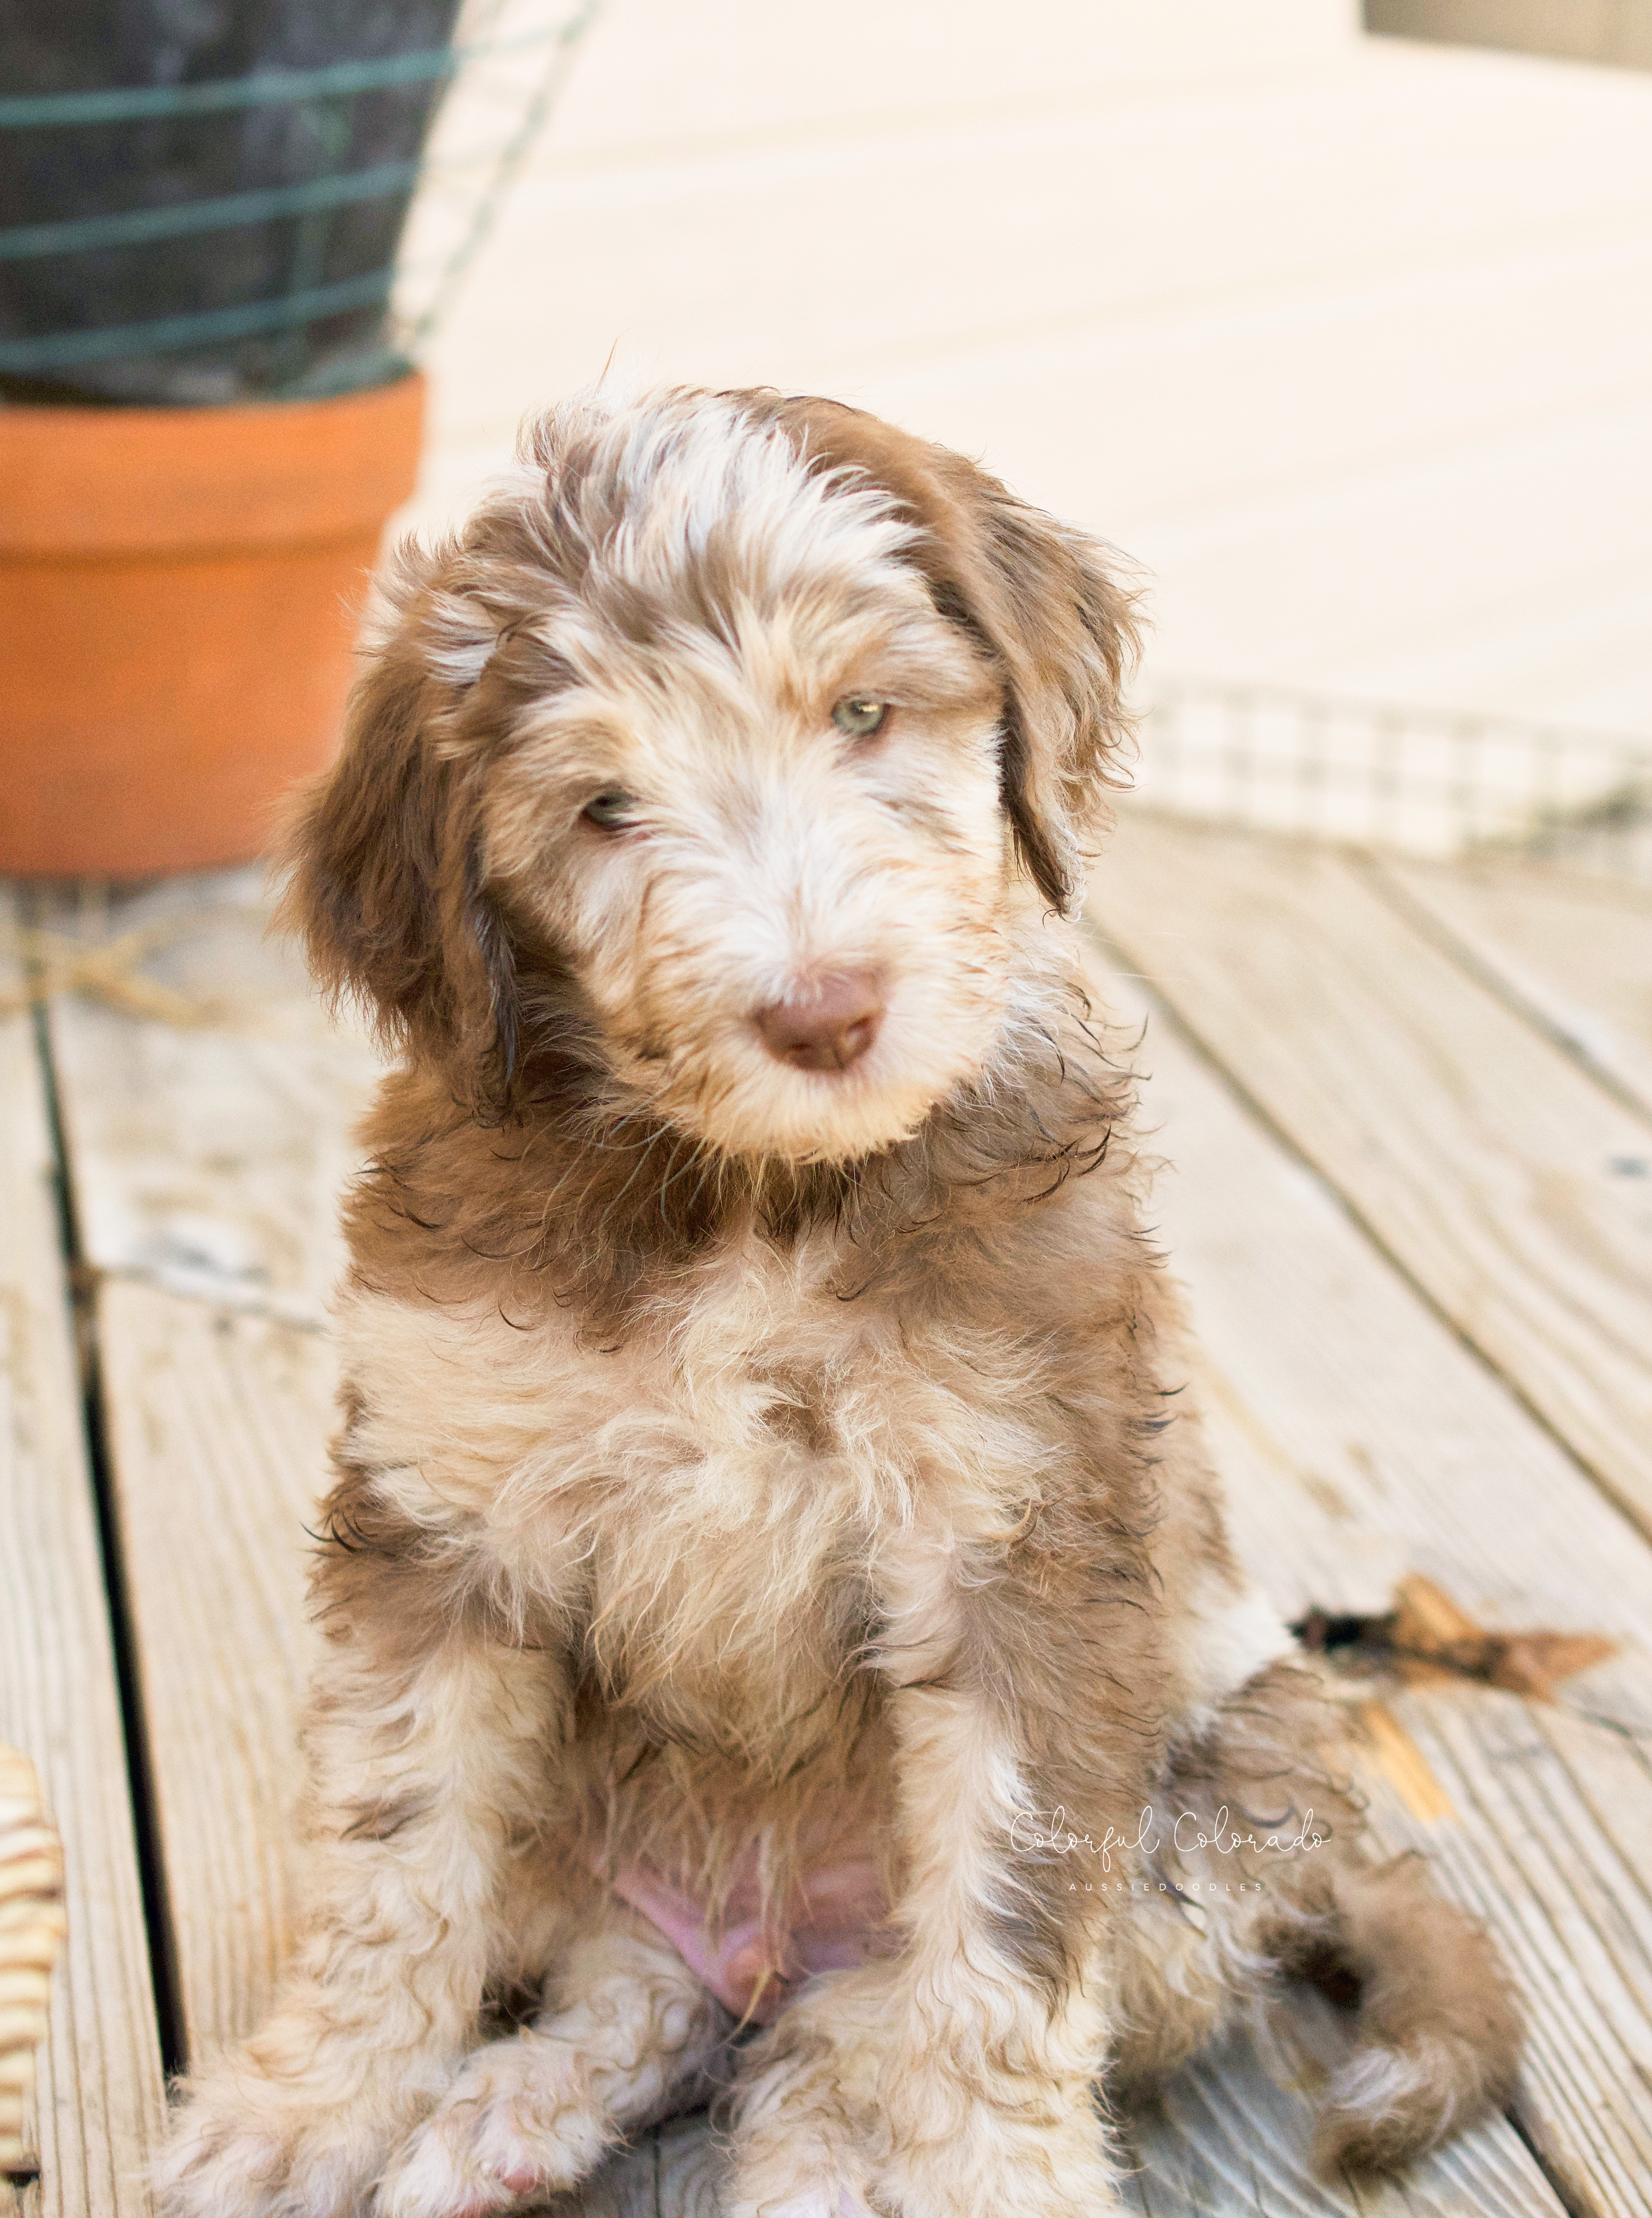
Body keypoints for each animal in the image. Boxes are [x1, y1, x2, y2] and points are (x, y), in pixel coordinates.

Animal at [157, 390, 1517, 2209]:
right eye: (604, 809)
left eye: (865, 715)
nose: (825, 1013)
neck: (758, 1195)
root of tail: (759, 1934)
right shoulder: (442, 1526)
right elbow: (394, 1855)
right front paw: (309, 2109)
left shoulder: (1024, 1551)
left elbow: (1000, 1961)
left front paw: (996, 2185)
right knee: (651, 1990)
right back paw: (507, 2111)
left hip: (1232, 1780)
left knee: (841, 2033)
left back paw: (785, 2139)